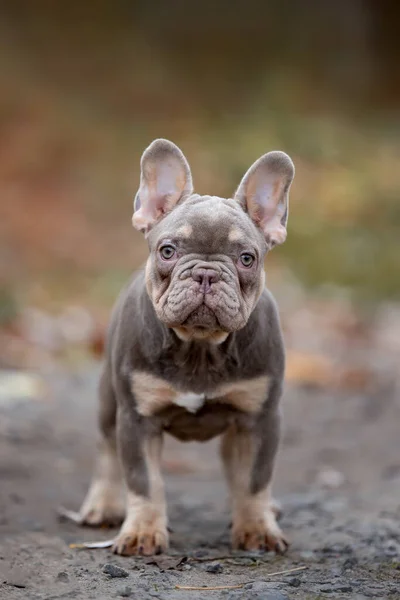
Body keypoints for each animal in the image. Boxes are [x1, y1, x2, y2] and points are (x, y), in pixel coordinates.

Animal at [76, 138, 294, 556]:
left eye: (247, 258)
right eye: (167, 251)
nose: (206, 273)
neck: (200, 347)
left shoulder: (260, 418)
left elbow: (254, 478)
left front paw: (257, 527)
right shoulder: (137, 420)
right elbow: (144, 481)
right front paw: (142, 532)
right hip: (109, 401)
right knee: (106, 449)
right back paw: (103, 505)